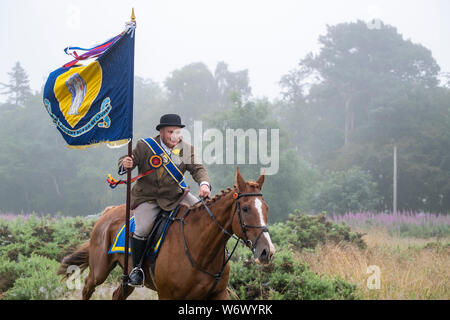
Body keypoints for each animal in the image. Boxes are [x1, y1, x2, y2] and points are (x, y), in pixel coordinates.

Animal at [56, 168, 274, 300]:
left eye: (266, 208)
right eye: (245, 208)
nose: (267, 251)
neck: (201, 249)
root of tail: (108, 213)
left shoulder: (218, 294)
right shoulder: (168, 295)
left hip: (126, 278)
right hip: (99, 270)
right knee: (87, 288)